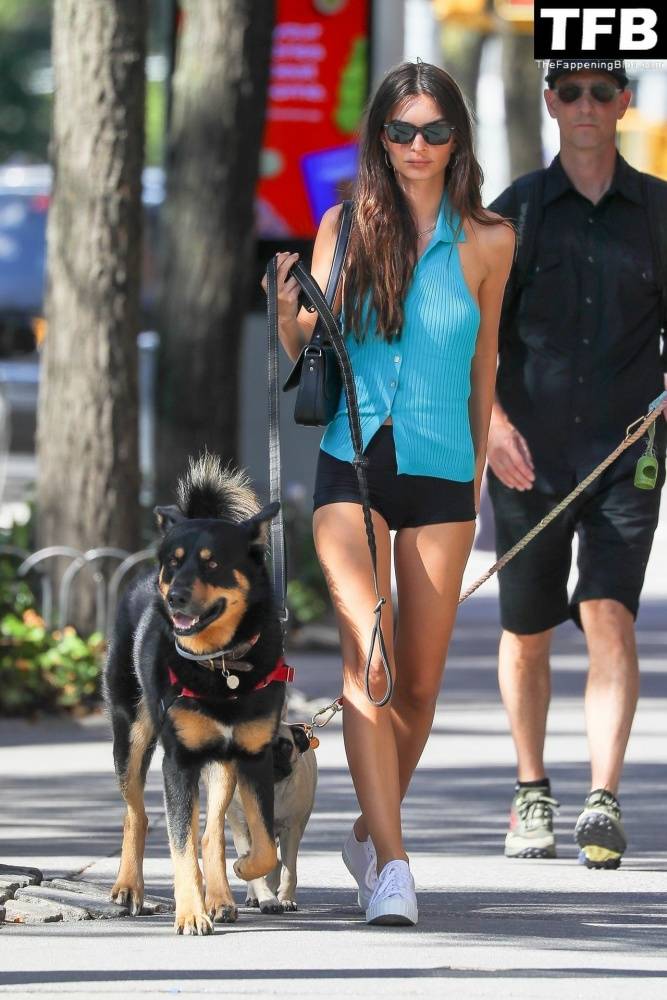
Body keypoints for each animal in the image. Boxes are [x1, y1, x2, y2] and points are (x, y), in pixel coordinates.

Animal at [103, 458, 290, 932]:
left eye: (212, 564)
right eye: (173, 563)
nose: (174, 596)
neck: (219, 665)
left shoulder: (253, 756)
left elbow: (262, 844)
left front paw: (240, 873)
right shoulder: (179, 761)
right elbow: (179, 844)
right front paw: (190, 913)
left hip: (222, 763)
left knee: (212, 830)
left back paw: (220, 897)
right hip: (132, 736)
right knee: (137, 814)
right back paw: (129, 889)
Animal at [228, 720, 320, 916]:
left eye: (286, 746)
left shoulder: (290, 832)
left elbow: (289, 870)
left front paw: (285, 899)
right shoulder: (242, 832)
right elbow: (255, 870)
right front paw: (267, 899)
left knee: (276, 862)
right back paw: (254, 896)